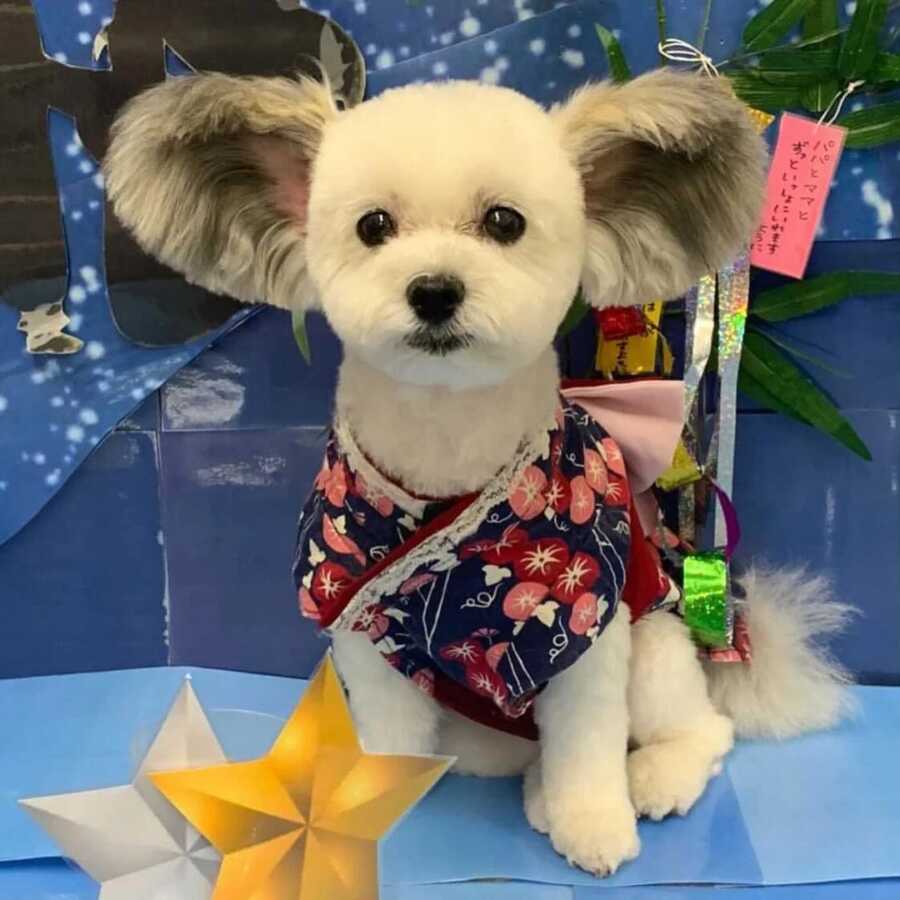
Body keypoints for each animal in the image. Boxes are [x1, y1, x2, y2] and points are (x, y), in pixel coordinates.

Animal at [107, 72, 856, 880]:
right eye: (373, 226)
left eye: (504, 221)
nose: (434, 290)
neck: (447, 446)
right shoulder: (367, 632)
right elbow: (387, 732)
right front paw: (370, 808)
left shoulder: (583, 629)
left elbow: (589, 746)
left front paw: (594, 825)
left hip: (656, 649)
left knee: (703, 730)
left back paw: (650, 779)